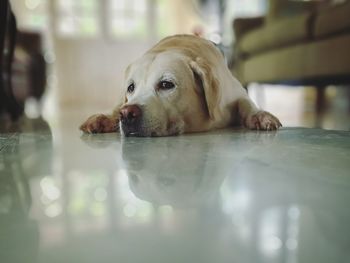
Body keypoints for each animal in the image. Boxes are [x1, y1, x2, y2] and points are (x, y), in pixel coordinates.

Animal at [80, 34, 282, 137]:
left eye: (166, 84)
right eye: (131, 87)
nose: (127, 114)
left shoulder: (234, 92)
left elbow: (246, 102)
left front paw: (259, 115)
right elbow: (116, 106)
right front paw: (107, 118)